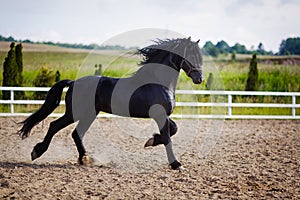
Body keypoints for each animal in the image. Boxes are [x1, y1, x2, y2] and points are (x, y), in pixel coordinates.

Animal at [18, 36, 204, 170]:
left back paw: (85, 159)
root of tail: (73, 82)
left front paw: (151, 141)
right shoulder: (159, 114)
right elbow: (167, 137)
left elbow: (174, 129)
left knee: (76, 134)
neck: (158, 82)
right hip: (75, 113)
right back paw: (37, 152)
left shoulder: (163, 115)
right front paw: (176, 164)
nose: (199, 79)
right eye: (190, 55)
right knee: (54, 126)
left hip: (90, 114)